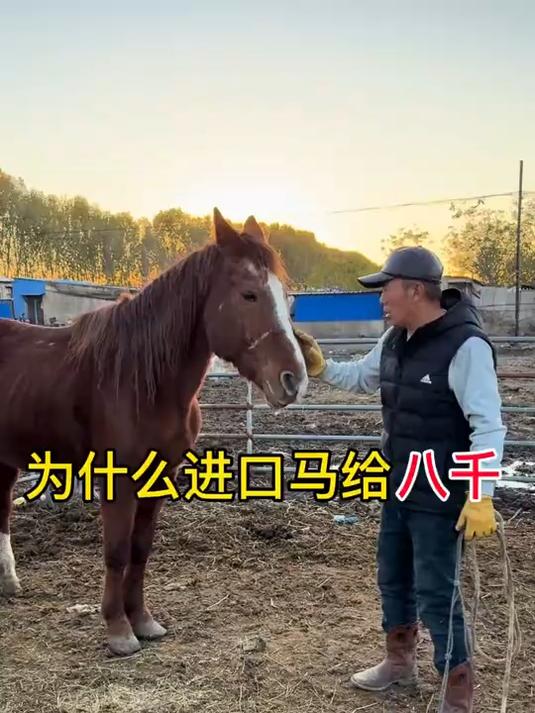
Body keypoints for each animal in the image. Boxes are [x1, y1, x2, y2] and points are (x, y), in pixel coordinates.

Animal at [0, 208, 308, 655]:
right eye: (249, 295)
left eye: (286, 298)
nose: (294, 380)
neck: (143, 382)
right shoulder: (118, 481)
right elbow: (116, 551)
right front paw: (118, 630)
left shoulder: (160, 476)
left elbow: (141, 550)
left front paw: (142, 621)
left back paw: (8, 581)